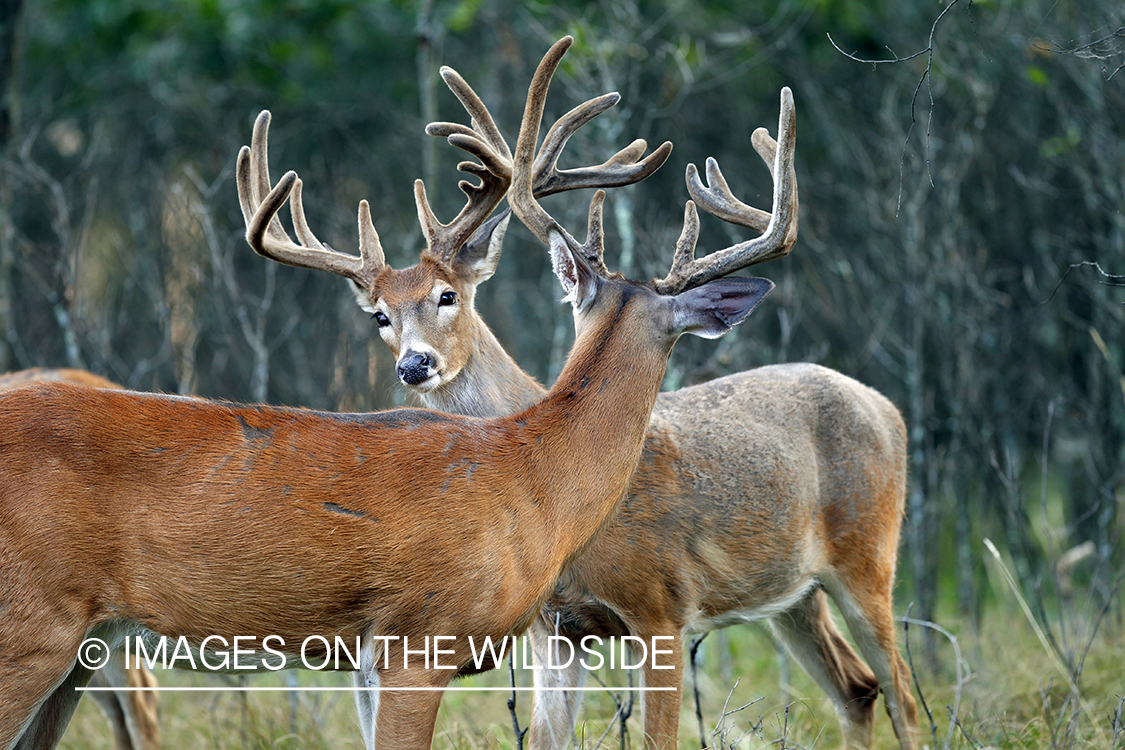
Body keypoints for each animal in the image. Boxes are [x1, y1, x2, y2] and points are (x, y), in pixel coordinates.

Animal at [241, 39, 918, 750]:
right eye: (379, 316)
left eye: (448, 296)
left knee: (900, 688)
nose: (414, 365)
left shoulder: (662, 606)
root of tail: (884, 405)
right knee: (856, 686)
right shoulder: (555, 626)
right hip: (791, 593)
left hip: (868, 557)